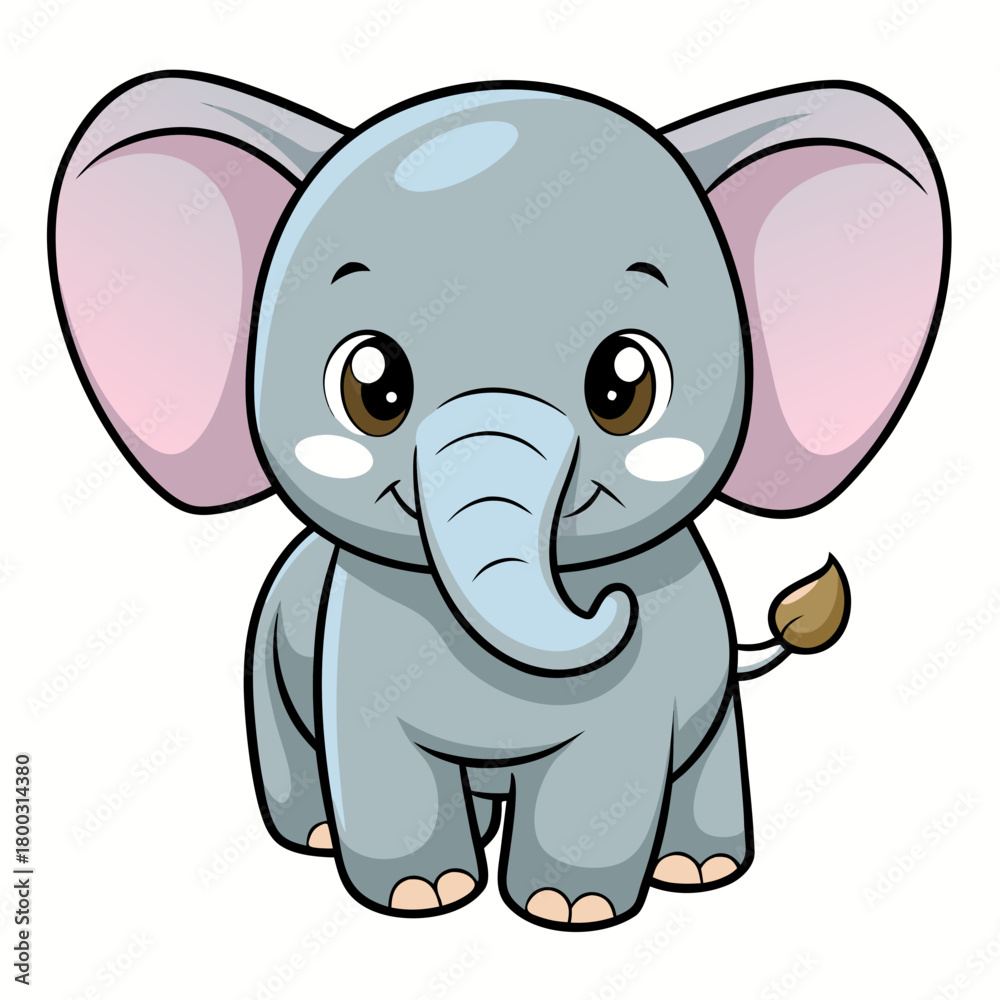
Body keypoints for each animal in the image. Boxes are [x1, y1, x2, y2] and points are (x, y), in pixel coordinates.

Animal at [49, 72, 949, 929]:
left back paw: (699, 869)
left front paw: (569, 910)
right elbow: (378, 754)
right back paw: (317, 834)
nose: (612, 604)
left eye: (624, 385)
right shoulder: (355, 636)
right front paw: (423, 895)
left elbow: (608, 770)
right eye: (372, 386)